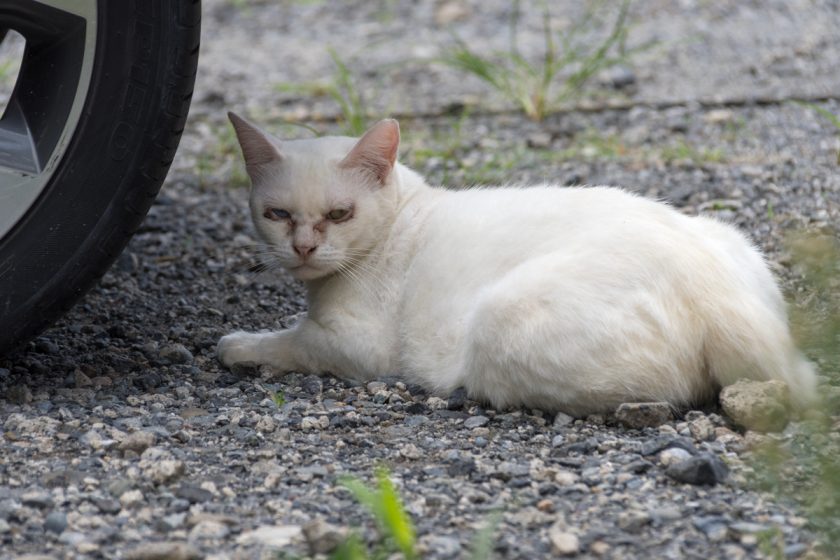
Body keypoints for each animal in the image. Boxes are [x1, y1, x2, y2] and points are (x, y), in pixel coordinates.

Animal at [215, 112, 812, 416]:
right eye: (276, 214)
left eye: (340, 214)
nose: (303, 248)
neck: (406, 214)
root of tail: (713, 286)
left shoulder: (353, 345)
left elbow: (291, 340)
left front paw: (239, 345)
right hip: (730, 236)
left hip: (498, 318)